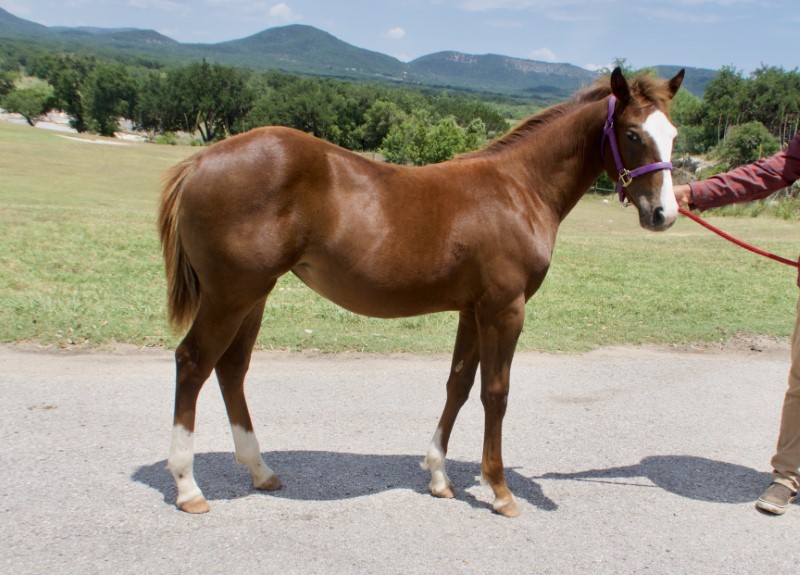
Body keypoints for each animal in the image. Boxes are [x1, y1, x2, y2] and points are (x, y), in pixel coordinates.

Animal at [159, 67, 684, 516]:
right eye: (632, 134)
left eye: (674, 134)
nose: (664, 215)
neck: (519, 188)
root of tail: (201, 159)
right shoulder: (504, 310)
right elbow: (496, 392)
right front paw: (500, 490)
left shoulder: (472, 310)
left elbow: (458, 384)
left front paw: (438, 476)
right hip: (231, 295)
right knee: (193, 362)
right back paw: (188, 487)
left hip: (253, 295)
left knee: (231, 367)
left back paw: (261, 470)